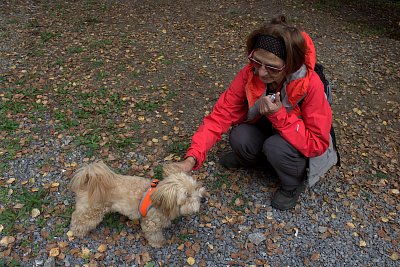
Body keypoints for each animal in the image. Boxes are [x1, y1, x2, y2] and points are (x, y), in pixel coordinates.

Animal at [69, 160, 205, 248]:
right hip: (92, 211)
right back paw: (78, 232)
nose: (202, 199)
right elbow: (154, 235)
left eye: (195, 187)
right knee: (78, 219)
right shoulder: (151, 223)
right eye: (187, 195)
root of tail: (88, 180)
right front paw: (159, 243)